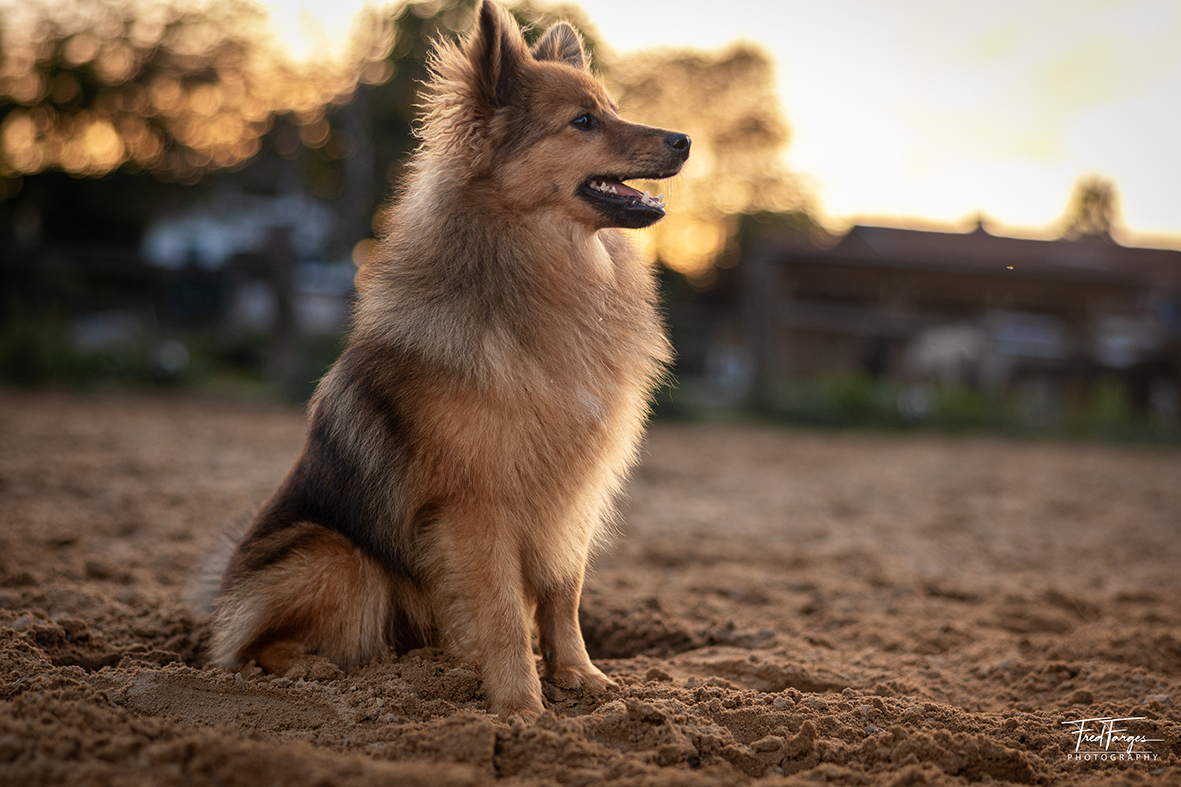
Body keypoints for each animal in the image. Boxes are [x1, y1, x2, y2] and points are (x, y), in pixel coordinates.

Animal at [209, 0, 689, 718]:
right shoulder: (475, 505)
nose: (684, 139)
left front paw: (577, 676)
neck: (550, 267)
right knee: (250, 645)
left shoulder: (571, 497)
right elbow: (501, 610)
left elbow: (562, 594)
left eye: (611, 107)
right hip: (337, 556)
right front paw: (521, 709)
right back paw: (312, 668)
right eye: (583, 121)